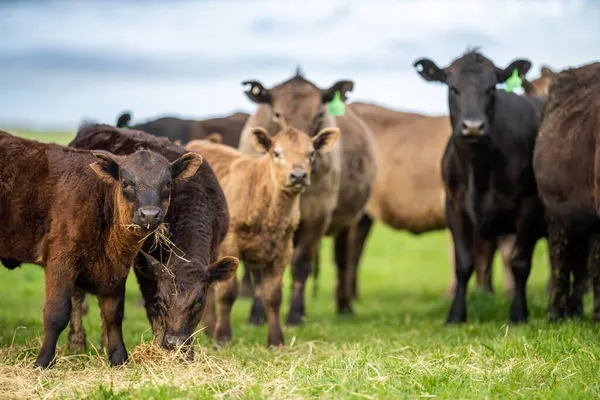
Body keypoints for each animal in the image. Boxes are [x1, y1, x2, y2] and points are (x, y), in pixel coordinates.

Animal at [0, 130, 204, 368]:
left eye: (168, 183)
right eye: (126, 182)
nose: (149, 214)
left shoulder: (117, 269)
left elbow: (113, 314)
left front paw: (119, 358)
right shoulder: (60, 259)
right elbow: (56, 313)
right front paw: (43, 362)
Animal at [68, 124, 237, 350]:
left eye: (199, 300)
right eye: (162, 299)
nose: (174, 342)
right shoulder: (146, 267)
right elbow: (152, 310)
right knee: (76, 293)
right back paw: (76, 343)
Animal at [185, 126, 340, 346]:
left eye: (311, 153)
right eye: (276, 153)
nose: (298, 175)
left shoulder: (283, 249)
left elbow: (273, 295)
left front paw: (276, 340)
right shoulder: (230, 244)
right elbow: (228, 292)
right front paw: (223, 337)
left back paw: (208, 327)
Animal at [414, 50, 548, 324]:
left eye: (491, 88)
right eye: (453, 88)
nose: (473, 126)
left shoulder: (529, 205)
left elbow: (520, 262)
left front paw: (518, 313)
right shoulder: (454, 207)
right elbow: (464, 264)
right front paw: (455, 315)